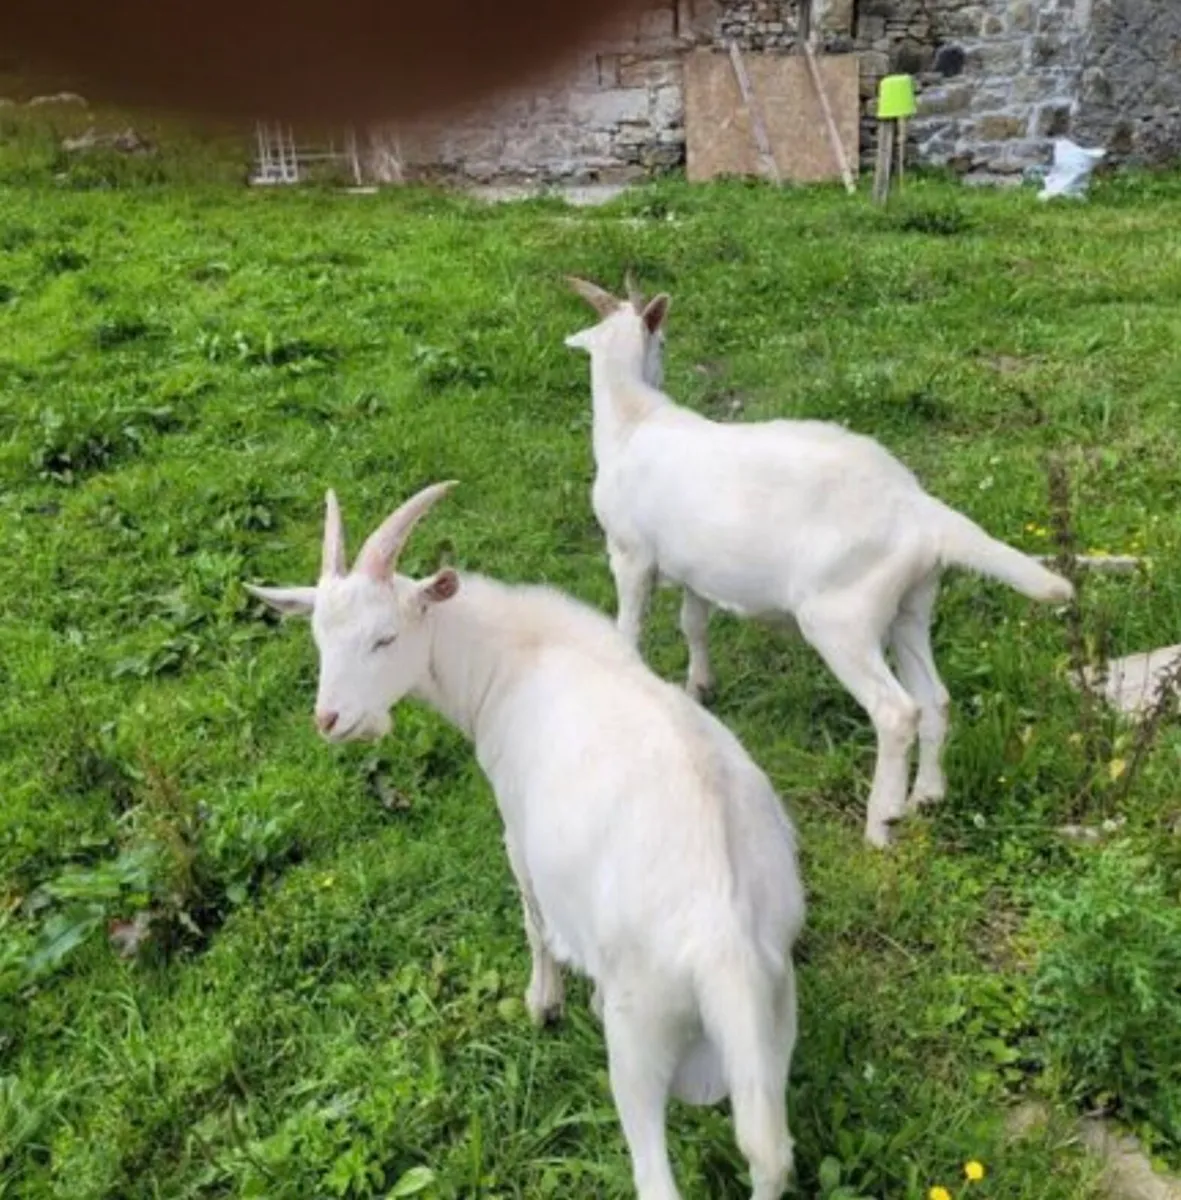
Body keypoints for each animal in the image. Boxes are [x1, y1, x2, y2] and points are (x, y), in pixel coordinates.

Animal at [246, 483, 806, 1200]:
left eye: (384, 637)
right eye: (318, 637)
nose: (331, 720)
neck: (519, 655)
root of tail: (723, 941)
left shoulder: (517, 829)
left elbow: (533, 918)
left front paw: (543, 1005)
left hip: (642, 1029)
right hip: (771, 1012)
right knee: (768, 1149)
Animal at [565, 276, 1074, 848]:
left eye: (665, 341)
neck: (634, 419)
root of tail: (920, 512)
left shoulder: (629, 553)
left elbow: (629, 627)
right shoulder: (696, 567)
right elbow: (693, 623)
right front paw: (700, 688)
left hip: (841, 616)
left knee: (897, 711)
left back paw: (881, 825)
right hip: (909, 604)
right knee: (936, 698)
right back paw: (926, 796)